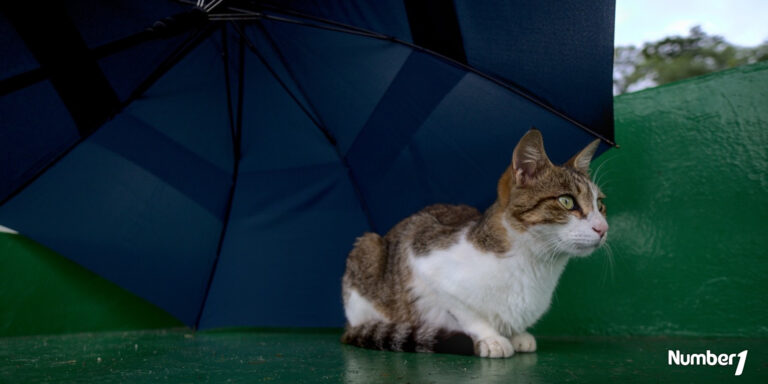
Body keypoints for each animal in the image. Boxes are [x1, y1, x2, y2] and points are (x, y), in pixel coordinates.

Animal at [340, 128, 608, 356]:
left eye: (600, 204)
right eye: (566, 201)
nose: (603, 228)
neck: (534, 266)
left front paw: (517, 334)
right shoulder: (420, 253)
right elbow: (466, 312)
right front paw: (492, 338)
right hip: (367, 247)